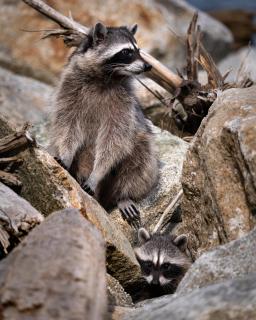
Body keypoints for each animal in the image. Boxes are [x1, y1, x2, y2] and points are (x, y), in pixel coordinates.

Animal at [49, 22, 158, 228]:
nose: (148, 66)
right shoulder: (70, 87)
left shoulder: (124, 103)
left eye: (138, 50)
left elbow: (114, 140)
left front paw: (97, 173)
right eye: (126, 52)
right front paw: (66, 154)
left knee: (141, 157)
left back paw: (123, 196)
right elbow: (67, 125)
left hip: (139, 147)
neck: (105, 77)